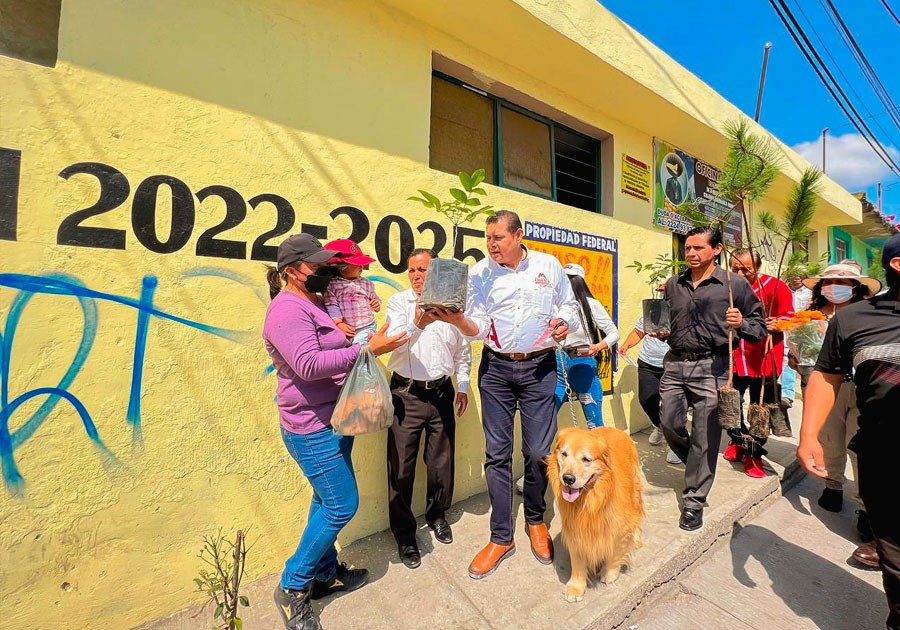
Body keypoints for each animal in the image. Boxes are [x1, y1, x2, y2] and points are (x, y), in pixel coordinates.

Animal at [544, 428, 644, 604]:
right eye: (564, 454)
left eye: (586, 459)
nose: (568, 478)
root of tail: (617, 429)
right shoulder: (575, 528)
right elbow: (577, 560)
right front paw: (576, 587)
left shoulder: (620, 526)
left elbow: (616, 550)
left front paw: (609, 574)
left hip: (635, 489)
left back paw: (637, 539)